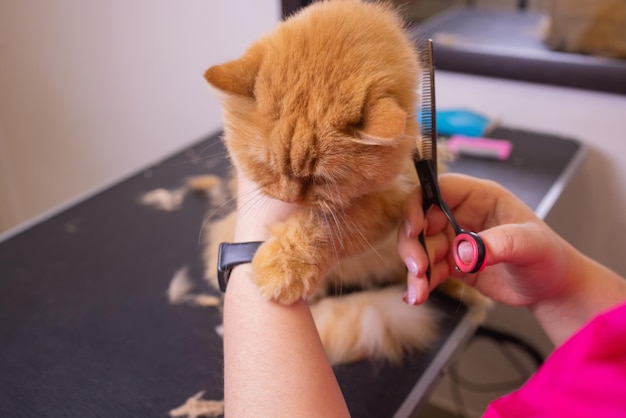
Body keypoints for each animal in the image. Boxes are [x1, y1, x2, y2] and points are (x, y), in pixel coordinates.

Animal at [205, 0, 438, 364]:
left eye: (322, 179)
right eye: (267, 167)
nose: (289, 198)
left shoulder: (389, 199)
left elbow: (319, 228)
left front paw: (283, 266)